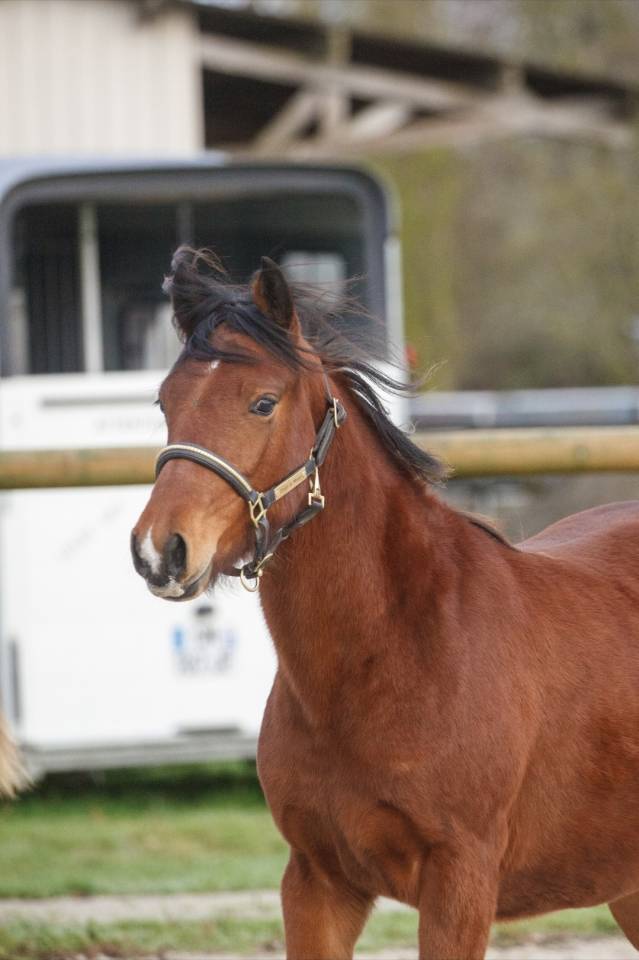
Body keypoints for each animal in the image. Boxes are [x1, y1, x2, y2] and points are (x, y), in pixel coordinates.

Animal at [131, 246, 639, 960]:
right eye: (165, 401)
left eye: (263, 402)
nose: (161, 550)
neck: (394, 656)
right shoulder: (317, 881)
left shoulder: (459, 884)